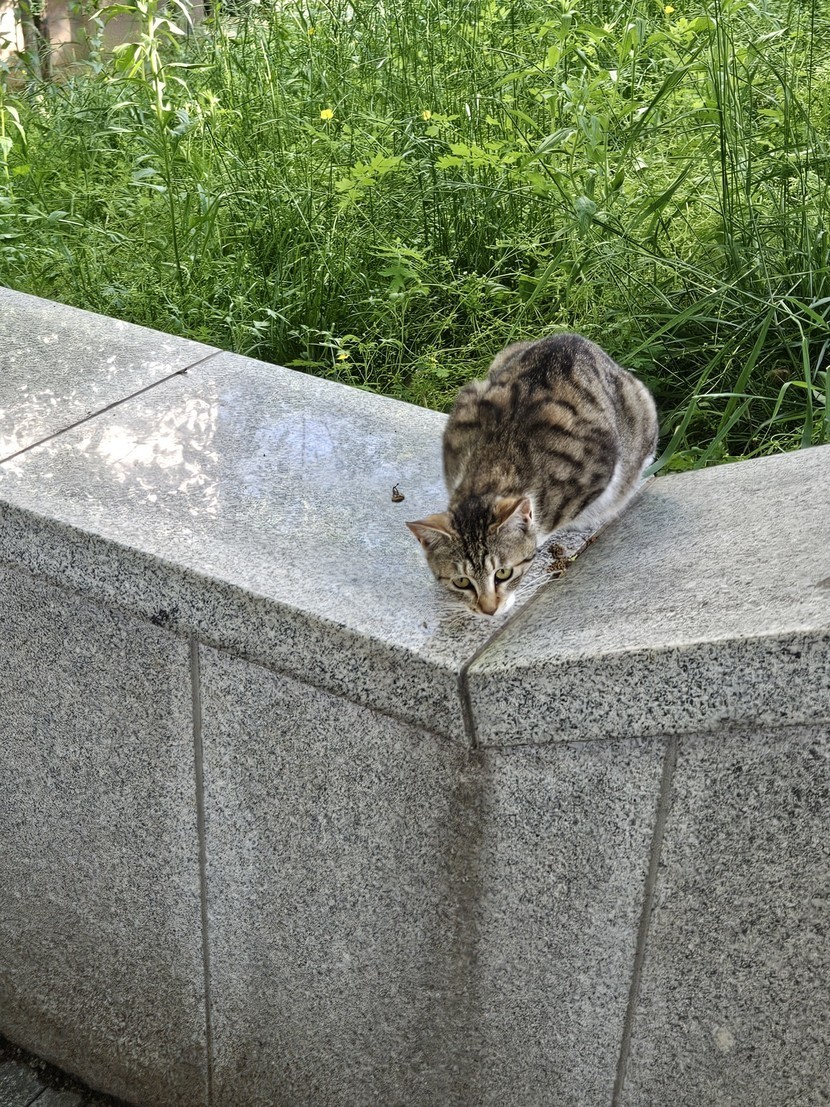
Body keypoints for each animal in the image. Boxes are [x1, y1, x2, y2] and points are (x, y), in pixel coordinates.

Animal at [407, 333, 658, 616]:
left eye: (503, 573)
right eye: (462, 581)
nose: (489, 610)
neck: (495, 468)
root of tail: (574, 337)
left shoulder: (601, 467)